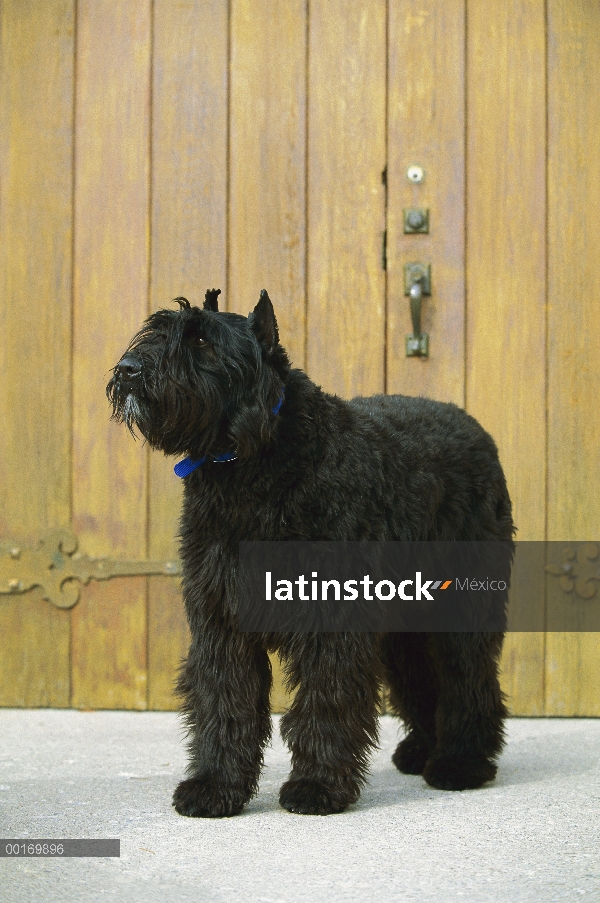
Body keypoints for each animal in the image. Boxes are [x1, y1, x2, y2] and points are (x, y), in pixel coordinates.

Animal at [106, 290, 510, 820]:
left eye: (201, 340)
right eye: (158, 328)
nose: (129, 368)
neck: (253, 464)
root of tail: (477, 430)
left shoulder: (330, 619)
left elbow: (326, 698)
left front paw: (317, 786)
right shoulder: (219, 619)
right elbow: (223, 700)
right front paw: (216, 786)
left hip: (462, 612)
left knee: (469, 681)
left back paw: (460, 763)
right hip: (405, 625)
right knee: (422, 679)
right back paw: (422, 750)